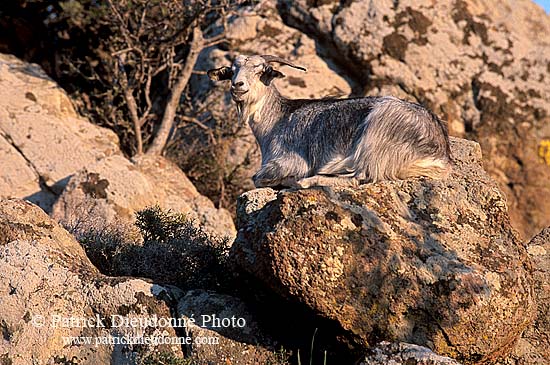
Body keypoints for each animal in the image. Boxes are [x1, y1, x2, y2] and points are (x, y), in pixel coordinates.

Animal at [207, 54, 452, 188]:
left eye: (261, 71)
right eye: (232, 71)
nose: (238, 86)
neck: (276, 121)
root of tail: (440, 150)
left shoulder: (291, 160)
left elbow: (257, 178)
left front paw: (291, 179)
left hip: (377, 129)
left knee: (361, 177)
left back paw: (304, 181)